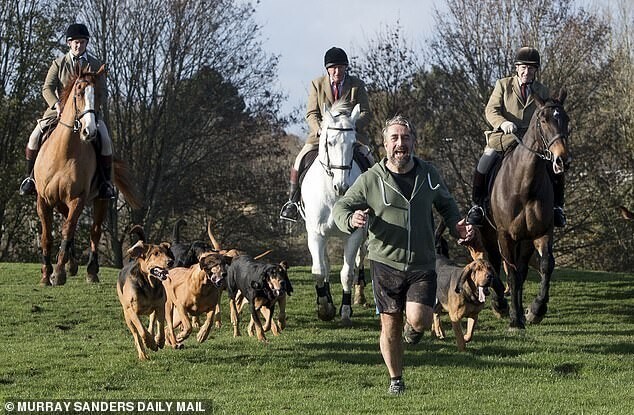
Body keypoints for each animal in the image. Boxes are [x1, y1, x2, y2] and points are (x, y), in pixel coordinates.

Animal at [34, 66, 140, 286]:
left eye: (99, 94)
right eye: (79, 91)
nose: (89, 131)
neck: (63, 152)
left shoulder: (77, 199)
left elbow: (68, 230)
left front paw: (58, 274)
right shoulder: (43, 200)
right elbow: (47, 236)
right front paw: (46, 275)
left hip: (101, 200)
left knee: (94, 231)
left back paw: (91, 271)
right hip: (60, 203)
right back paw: (72, 264)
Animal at [302, 101, 366, 324]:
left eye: (354, 144)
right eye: (329, 142)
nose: (342, 186)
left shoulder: (355, 234)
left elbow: (347, 273)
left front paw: (345, 311)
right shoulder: (316, 233)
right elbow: (319, 271)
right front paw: (324, 308)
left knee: (359, 261)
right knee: (325, 265)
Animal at [482, 89, 572, 330]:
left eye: (566, 119)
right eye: (544, 120)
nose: (562, 160)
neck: (524, 185)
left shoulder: (540, 233)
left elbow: (546, 265)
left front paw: (535, 310)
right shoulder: (504, 235)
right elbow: (511, 272)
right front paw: (513, 318)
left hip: (524, 240)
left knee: (521, 271)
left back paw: (521, 311)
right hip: (491, 233)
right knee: (496, 263)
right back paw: (501, 305)